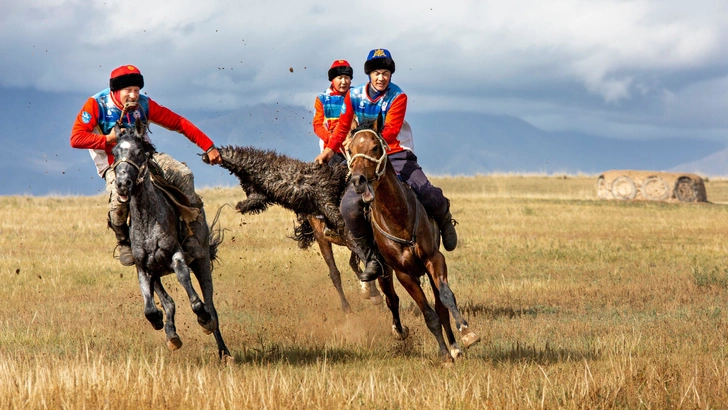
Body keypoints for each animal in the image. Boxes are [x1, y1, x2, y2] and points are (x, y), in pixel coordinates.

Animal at [113, 121, 230, 358]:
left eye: (139, 152)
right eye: (114, 152)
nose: (122, 183)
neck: (148, 220)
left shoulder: (176, 256)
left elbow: (194, 297)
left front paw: (203, 318)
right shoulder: (144, 268)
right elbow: (151, 307)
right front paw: (159, 322)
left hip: (202, 261)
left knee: (211, 305)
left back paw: (223, 350)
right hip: (158, 273)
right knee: (169, 303)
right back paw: (172, 335)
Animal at [199, 146, 382, 312]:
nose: (206, 157)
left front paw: (374, 292)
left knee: (352, 261)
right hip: (325, 237)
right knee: (339, 270)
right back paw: (355, 302)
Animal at [346, 119, 480, 366]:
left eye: (375, 147)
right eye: (350, 149)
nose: (358, 180)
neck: (398, 217)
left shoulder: (434, 259)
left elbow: (446, 298)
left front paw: (466, 335)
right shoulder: (403, 274)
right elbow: (428, 314)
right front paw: (444, 356)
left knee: (440, 305)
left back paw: (455, 347)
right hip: (384, 271)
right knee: (392, 299)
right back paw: (400, 331)